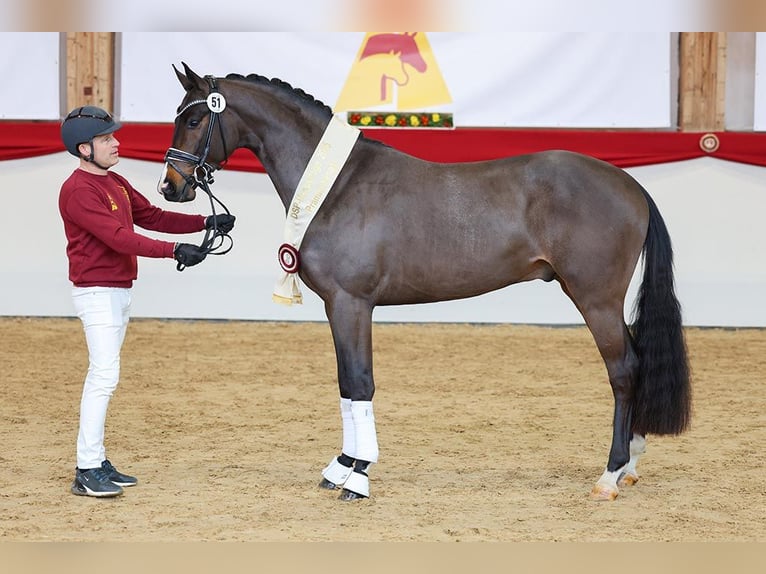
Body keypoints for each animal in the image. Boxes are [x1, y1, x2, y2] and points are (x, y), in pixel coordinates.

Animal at [159, 63, 692, 502]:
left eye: (195, 119)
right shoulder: (340, 306)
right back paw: (631, 464)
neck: (338, 185)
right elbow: (346, 383)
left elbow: (360, 382)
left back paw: (610, 475)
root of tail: (630, 184)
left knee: (623, 370)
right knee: (635, 364)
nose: (171, 186)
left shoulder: (351, 303)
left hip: (596, 299)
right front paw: (340, 467)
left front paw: (357, 477)